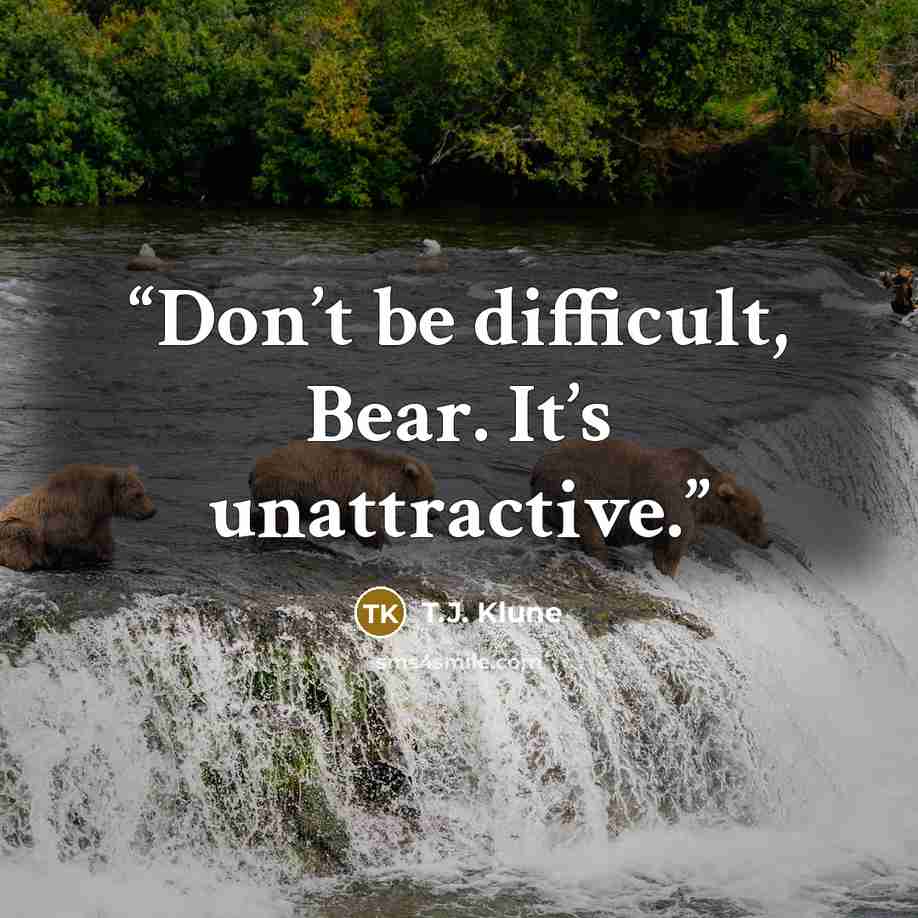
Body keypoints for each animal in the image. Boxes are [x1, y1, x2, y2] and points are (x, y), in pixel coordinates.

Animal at [0, 465, 156, 571]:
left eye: (144, 491)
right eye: (137, 495)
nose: (152, 511)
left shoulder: (98, 519)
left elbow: (104, 540)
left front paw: (104, 555)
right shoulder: (67, 517)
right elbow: (67, 541)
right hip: (13, 528)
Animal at [248, 442, 436, 549]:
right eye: (430, 497)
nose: (435, 515)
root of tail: (255, 468)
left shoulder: (345, 497)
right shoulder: (365, 489)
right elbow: (369, 521)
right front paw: (382, 543)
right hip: (285, 486)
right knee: (282, 515)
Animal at [530, 439, 771, 576]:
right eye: (755, 517)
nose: (767, 541)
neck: (701, 504)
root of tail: (537, 469)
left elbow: (661, 547)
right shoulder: (675, 505)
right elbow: (673, 550)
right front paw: (669, 573)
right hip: (576, 488)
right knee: (589, 526)